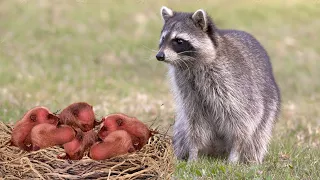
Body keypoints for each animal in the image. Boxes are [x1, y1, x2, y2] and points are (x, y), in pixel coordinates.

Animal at [156, 6, 282, 163]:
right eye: (163, 39)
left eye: (179, 41)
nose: (159, 56)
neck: (190, 64)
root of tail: (216, 151)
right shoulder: (188, 90)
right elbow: (194, 123)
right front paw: (193, 152)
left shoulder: (233, 83)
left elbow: (244, 120)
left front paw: (235, 152)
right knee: (182, 129)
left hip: (268, 110)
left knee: (258, 136)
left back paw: (251, 160)